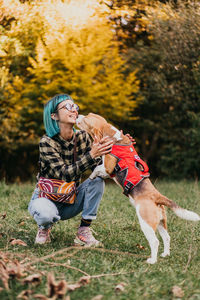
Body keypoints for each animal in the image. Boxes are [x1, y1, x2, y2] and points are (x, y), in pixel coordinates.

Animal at [76, 113, 199, 264]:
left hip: (146, 223)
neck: (114, 137)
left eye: (86, 119)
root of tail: (157, 196)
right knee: (166, 237)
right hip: (161, 222)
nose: (78, 115)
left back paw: (152, 260)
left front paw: (93, 175)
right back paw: (165, 254)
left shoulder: (108, 167)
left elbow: (97, 168)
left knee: (155, 241)